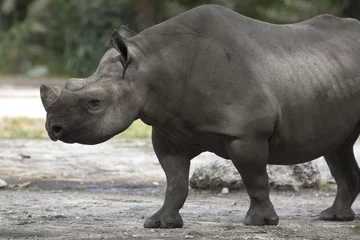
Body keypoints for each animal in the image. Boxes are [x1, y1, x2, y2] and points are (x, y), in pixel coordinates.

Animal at [40, 5, 360, 227]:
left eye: (94, 102)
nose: (53, 128)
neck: (151, 68)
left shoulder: (245, 133)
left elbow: (255, 177)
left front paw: (259, 222)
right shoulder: (169, 130)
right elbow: (175, 180)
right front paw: (160, 223)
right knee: (339, 147)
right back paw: (334, 217)